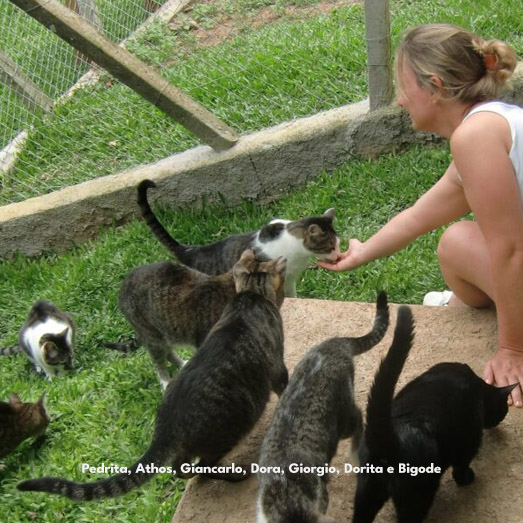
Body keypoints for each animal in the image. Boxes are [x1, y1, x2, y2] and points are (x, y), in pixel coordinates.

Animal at [18, 250, 289, 500]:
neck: (249, 296)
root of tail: (164, 428)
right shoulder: (276, 366)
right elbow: (284, 385)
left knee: (179, 466)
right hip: (228, 424)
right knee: (200, 464)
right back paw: (235, 474)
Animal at [257, 292, 389, 523]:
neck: (285, 493)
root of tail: (334, 344)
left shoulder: (320, 497)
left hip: (343, 420)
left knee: (358, 417)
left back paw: (356, 454)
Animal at [353, 305, 517, 523]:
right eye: (503, 411)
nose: (499, 422)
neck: (478, 386)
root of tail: (389, 439)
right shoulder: (469, 443)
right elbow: (461, 467)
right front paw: (468, 478)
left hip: (366, 491)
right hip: (417, 496)